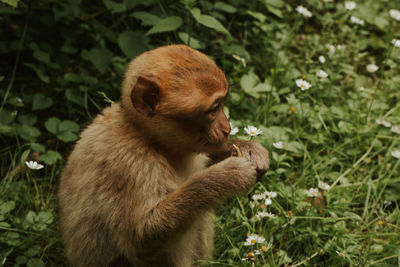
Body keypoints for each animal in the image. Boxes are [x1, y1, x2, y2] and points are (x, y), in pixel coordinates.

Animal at [57, 45, 270, 266]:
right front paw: (226, 176)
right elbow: (138, 241)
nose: (226, 129)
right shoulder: (130, 164)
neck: (149, 138)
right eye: (213, 109)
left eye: (221, 104)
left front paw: (250, 150)